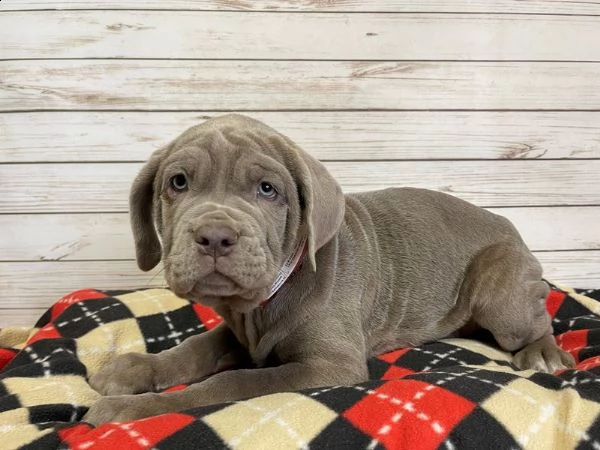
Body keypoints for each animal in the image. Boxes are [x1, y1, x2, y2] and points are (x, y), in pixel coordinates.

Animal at [82, 114, 576, 424]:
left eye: (268, 190)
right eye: (178, 183)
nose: (215, 235)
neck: (263, 304)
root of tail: (508, 224)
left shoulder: (331, 365)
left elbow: (232, 382)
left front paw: (135, 410)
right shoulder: (241, 332)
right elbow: (195, 348)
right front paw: (134, 370)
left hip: (502, 297)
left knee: (538, 320)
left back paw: (545, 353)